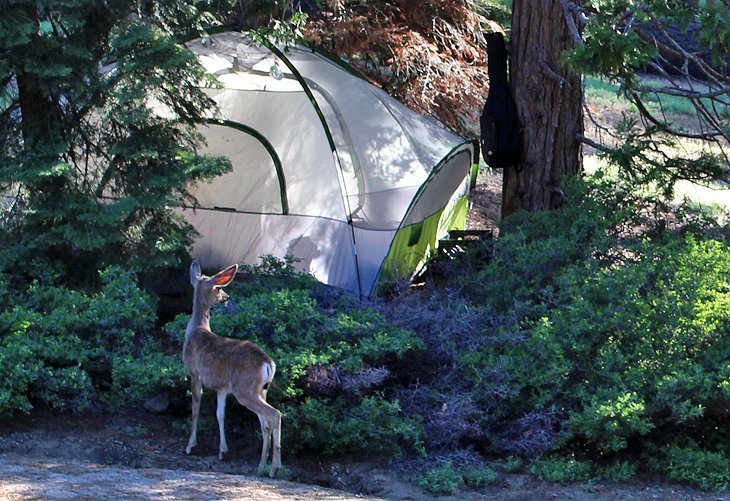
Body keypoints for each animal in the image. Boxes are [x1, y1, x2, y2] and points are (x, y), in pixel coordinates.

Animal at [182, 262, 282, 476]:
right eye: (219, 287)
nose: (226, 297)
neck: (196, 329)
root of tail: (268, 363)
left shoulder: (195, 374)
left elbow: (195, 409)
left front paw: (190, 446)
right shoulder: (222, 388)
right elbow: (220, 415)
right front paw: (223, 451)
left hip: (244, 389)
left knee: (274, 415)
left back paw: (274, 468)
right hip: (260, 390)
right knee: (265, 424)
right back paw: (261, 466)